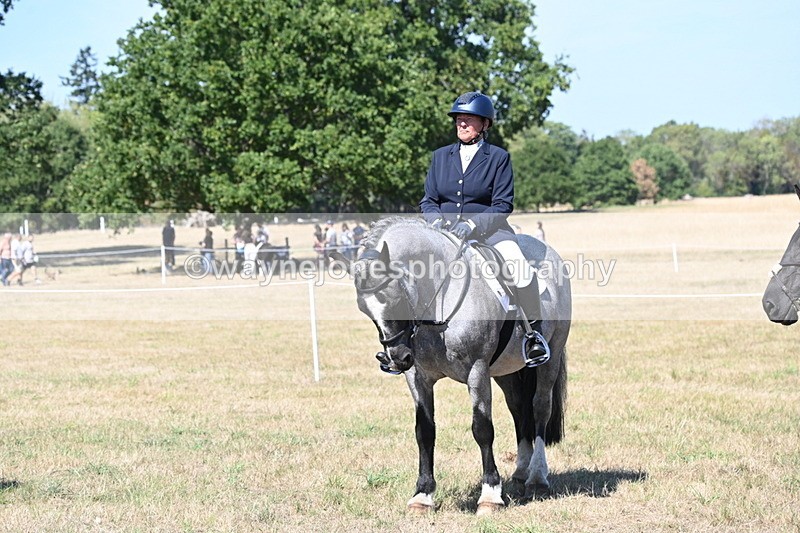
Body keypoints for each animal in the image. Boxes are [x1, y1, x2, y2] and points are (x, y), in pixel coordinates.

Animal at [334, 216, 571, 515]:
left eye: (394, 299)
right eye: (363, 309)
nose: (397, 358)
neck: (439, 301)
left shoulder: (477, 371)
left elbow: (482, 429)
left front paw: (490, 495)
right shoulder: (418, 377)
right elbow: (425, 431)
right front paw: (423, 495)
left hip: (551, 355)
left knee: (540, 407)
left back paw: (537, 477)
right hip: (506, 369)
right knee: (519, 408)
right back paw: (520, 471)